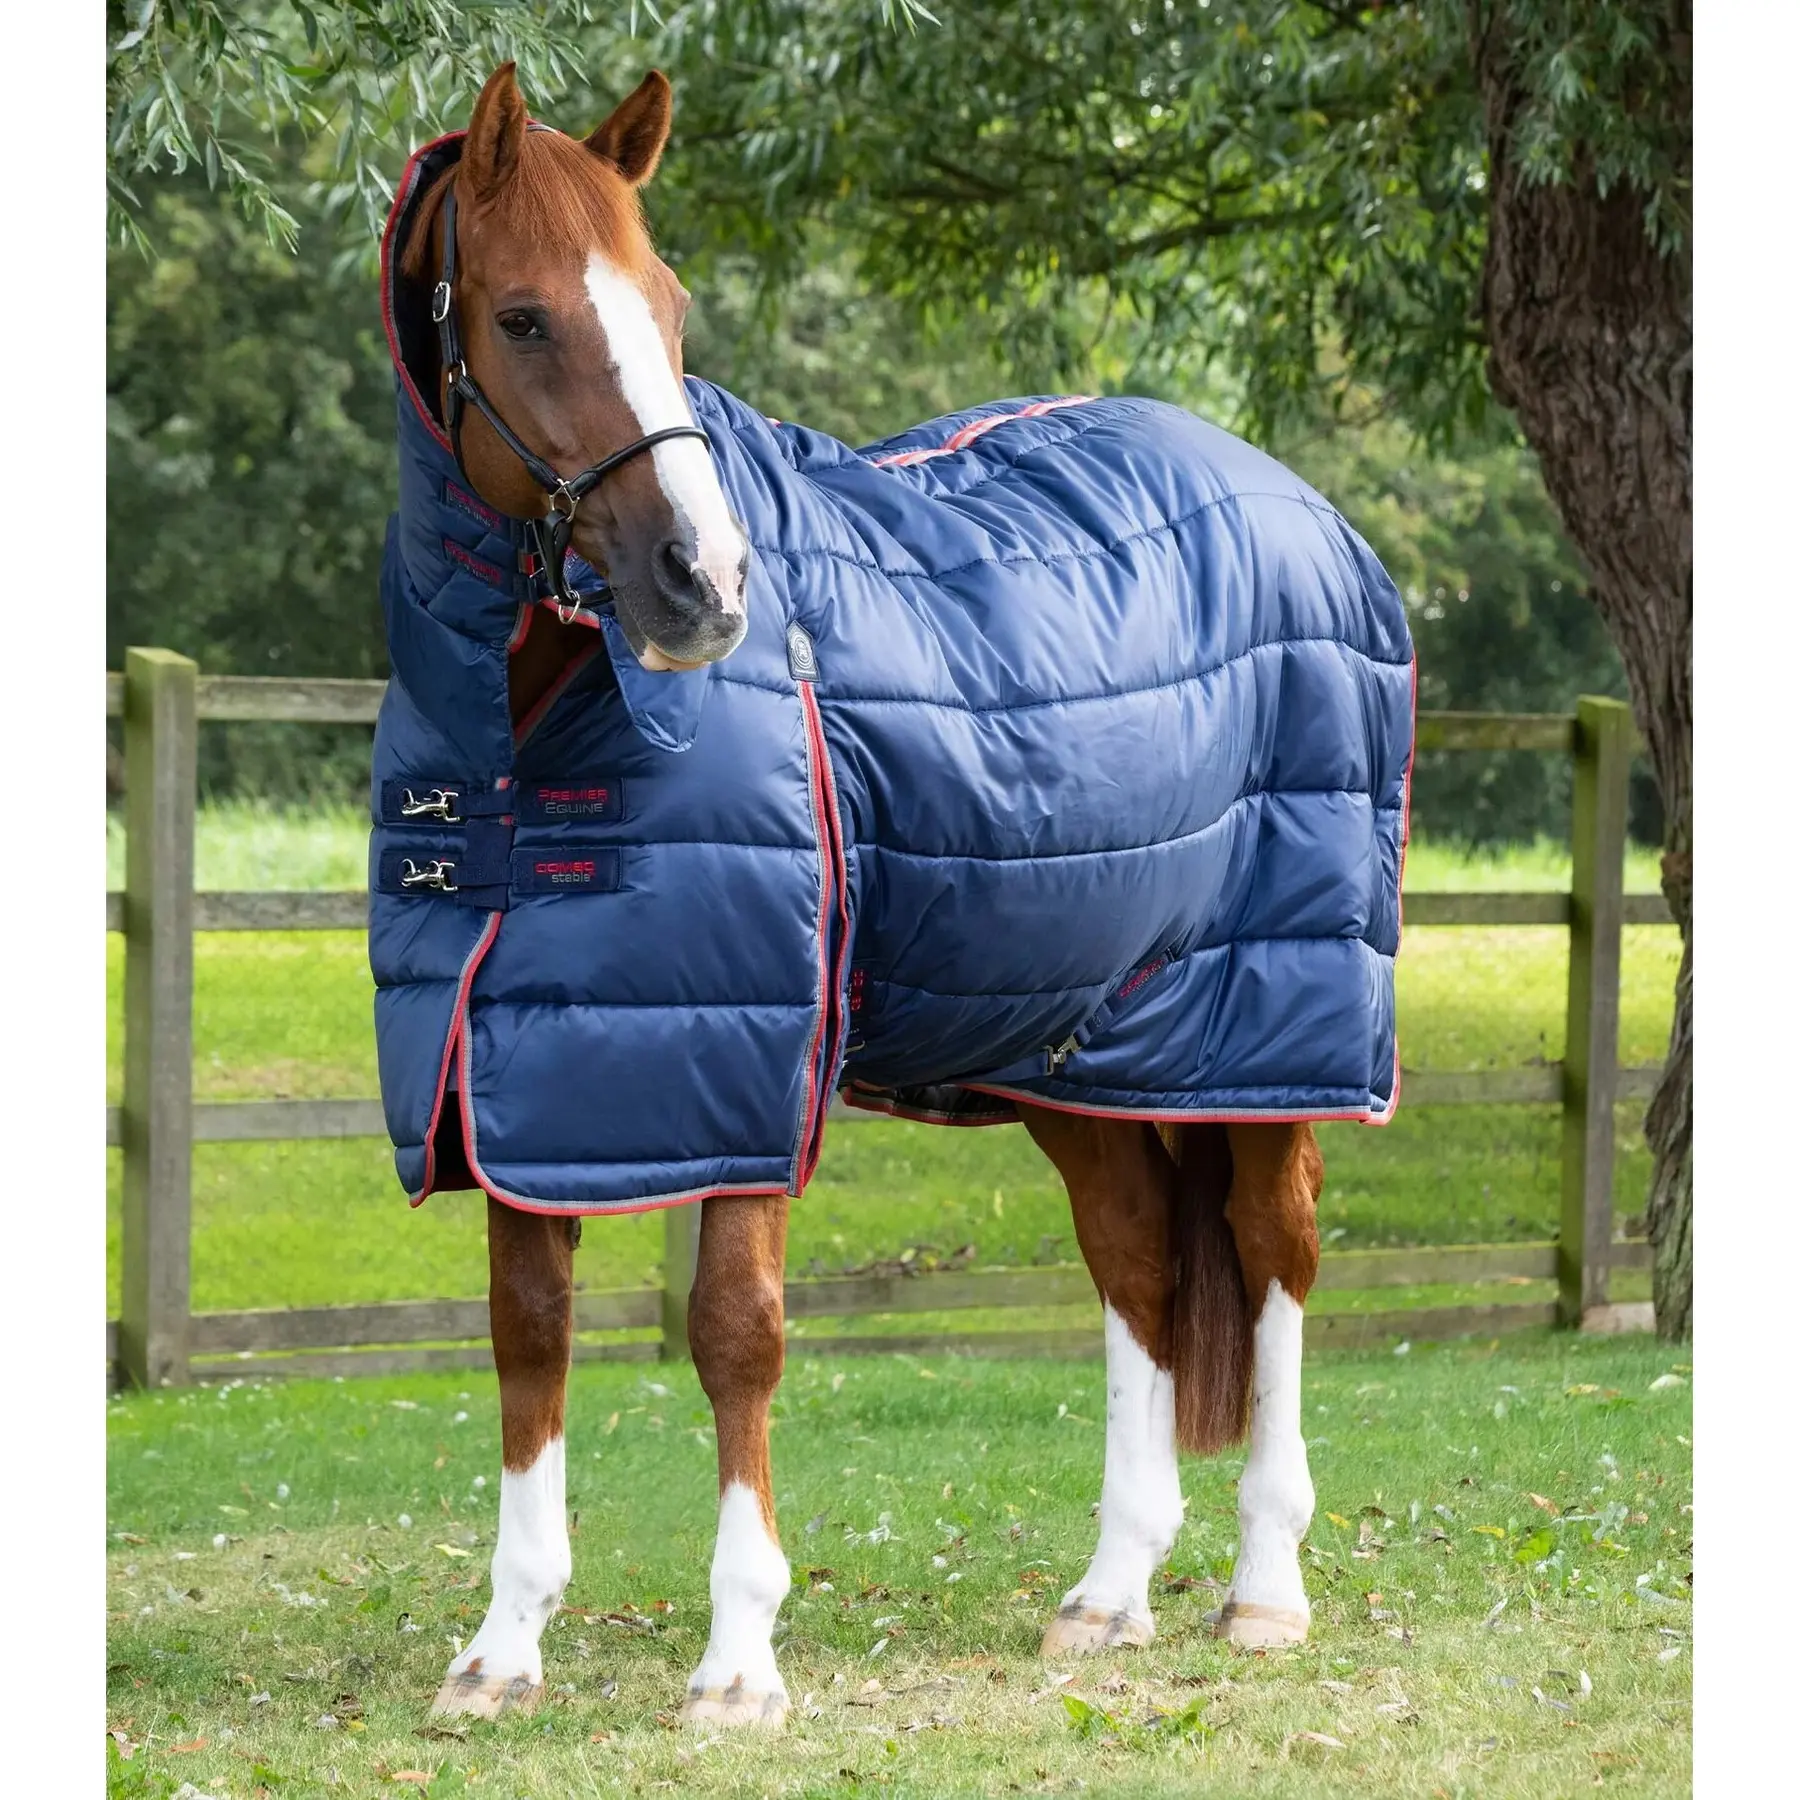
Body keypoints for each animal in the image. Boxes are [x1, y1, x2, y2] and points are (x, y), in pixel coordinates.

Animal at [376, 62, 1408, 1728]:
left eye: (670, 304)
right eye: (522, 317)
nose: (705, 581)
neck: (530, 737)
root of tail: (1314, 520)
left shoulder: (743, 1063)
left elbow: (735, 1335)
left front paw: (738, 1662)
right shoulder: (526, 1081)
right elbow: (527, 1335)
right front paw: (502, 1650)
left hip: (1278, 1040)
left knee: (1275, 1259)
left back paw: (1263, 1590)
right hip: (1083, 1049)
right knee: (1136, 1259)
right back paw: (1112, 1593)